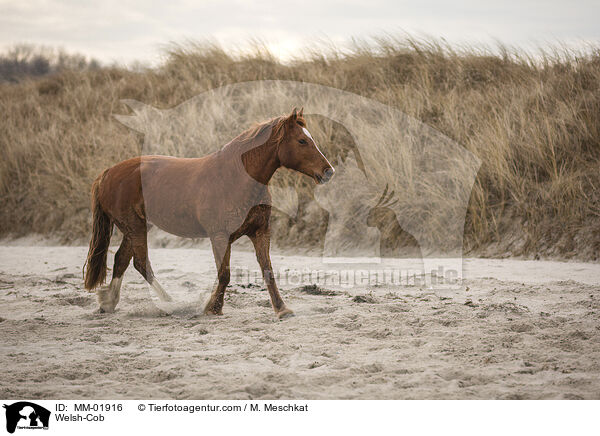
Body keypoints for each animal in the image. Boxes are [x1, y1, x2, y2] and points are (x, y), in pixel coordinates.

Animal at [84, 107, 332, 318]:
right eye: (302, 140)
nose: (328, 171)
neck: (236, 177)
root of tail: (108, 173)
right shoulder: (220, 236)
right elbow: (224, 274)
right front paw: (213, 308)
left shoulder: (260, 232)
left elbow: (267, 270)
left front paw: (282, 309)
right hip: (134, 227)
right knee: (141, 263)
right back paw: (171, 303)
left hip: (134, 227)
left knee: (121, 260)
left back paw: (109, 302)